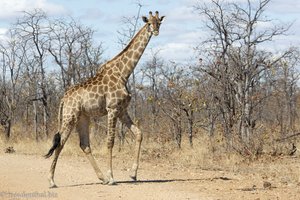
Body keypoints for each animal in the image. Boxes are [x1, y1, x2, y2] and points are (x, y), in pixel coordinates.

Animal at [45, 10, 164, 187]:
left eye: (159, 23)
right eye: (149, 23)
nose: (156, 31)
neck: (123, 73)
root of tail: (63, 99)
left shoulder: (122, 110)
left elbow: (139, 134)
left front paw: (133, 174)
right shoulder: (112, 108)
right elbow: (110, 142)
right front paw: (113, 177)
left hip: (82, 118)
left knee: (84, 144)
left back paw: (102, 178)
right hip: (69, 117)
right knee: (60, 144)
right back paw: (52, 181)